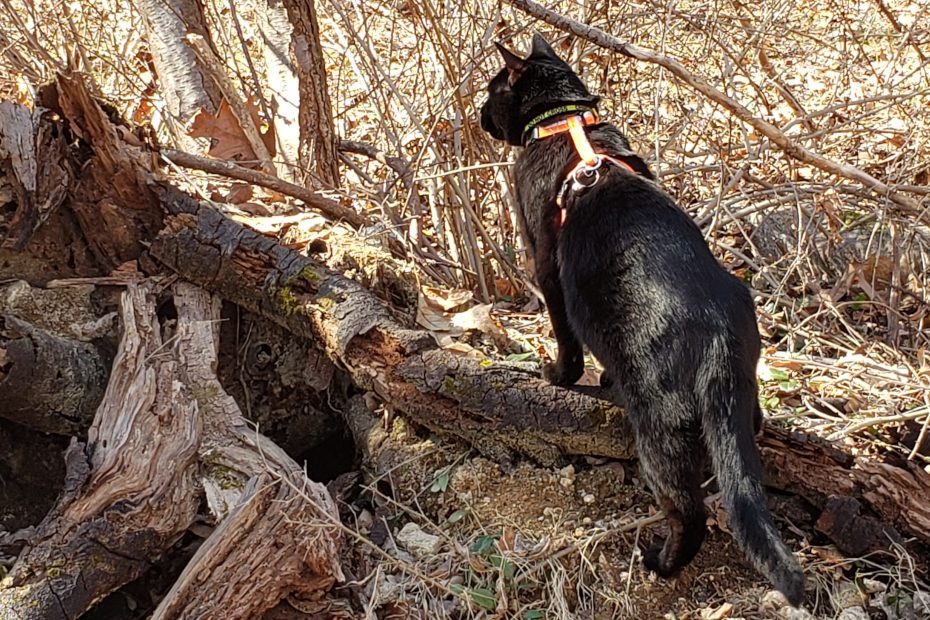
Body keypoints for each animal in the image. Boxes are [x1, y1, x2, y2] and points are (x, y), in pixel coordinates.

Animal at [482, 34, 800, 604]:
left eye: (492, 91)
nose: (476, 115)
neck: (566, 122)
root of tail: (717, 326)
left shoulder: (546, 268)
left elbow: (565, 340)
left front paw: (558, 376)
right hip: (736, 396)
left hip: (658, 430)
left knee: (688, 512)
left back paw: (661, 562)